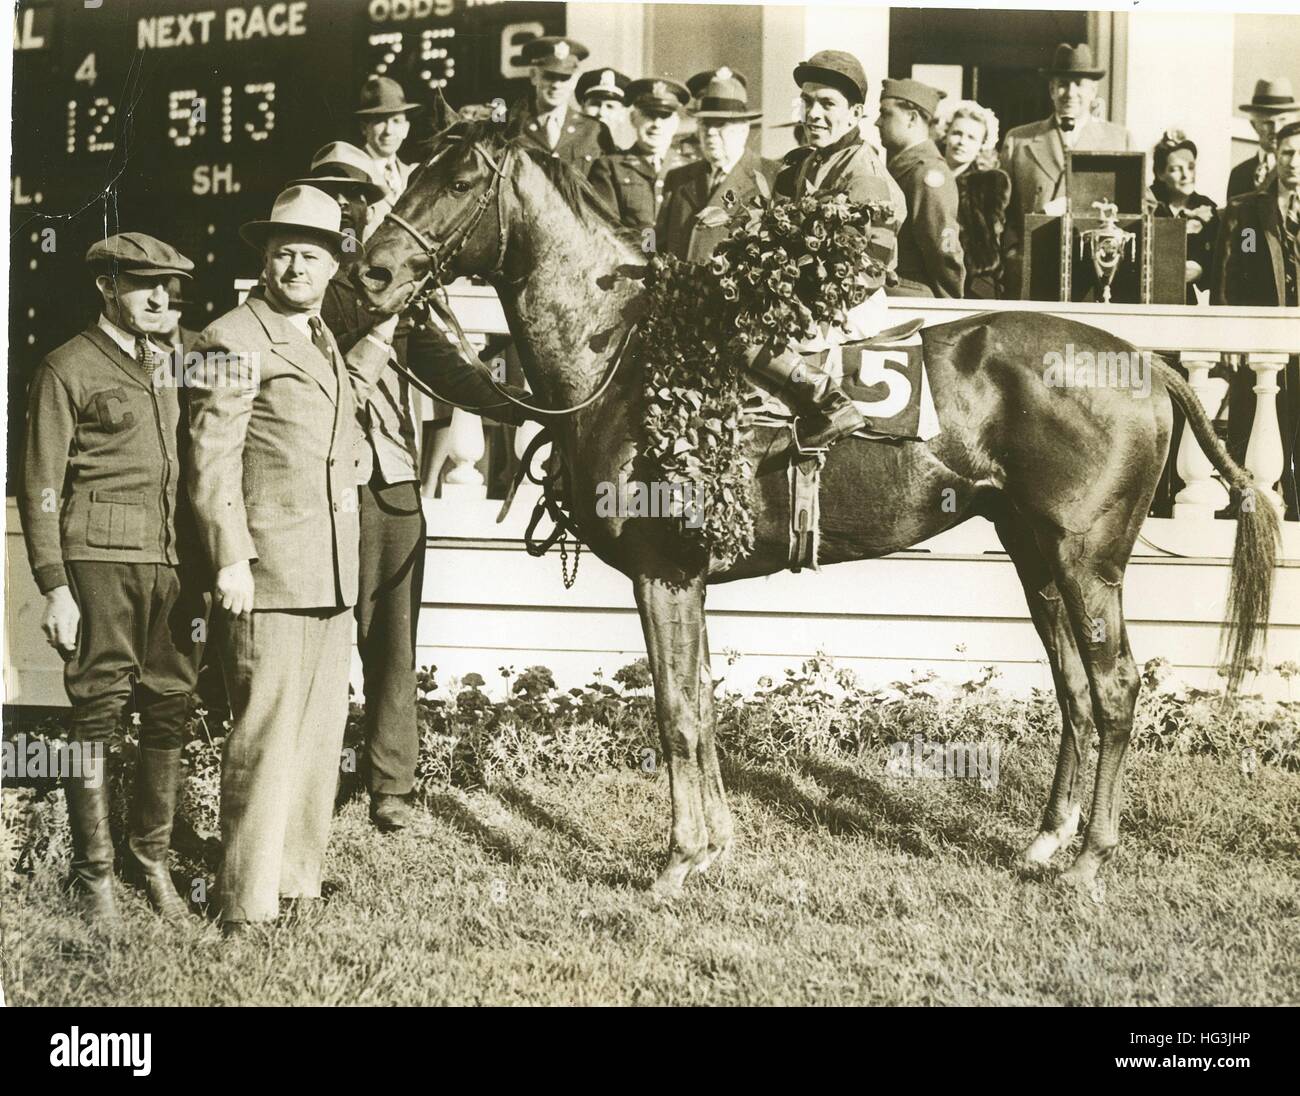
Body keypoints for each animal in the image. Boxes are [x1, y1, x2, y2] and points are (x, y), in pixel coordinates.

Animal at [356, 115, 1279, 894]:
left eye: (458, 178)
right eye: (412, 169)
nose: (372, 270)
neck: (625, 355)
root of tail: (1146, 361)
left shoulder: (664, 571)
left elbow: (675, 713)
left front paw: (678, 859)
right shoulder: (687, 580)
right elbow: (701, 703)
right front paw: (715, 846)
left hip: (1087, 561)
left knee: (1116, 689)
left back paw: (1090, 857)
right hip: (1036, 556)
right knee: (1077, 694)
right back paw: (1048, 841)